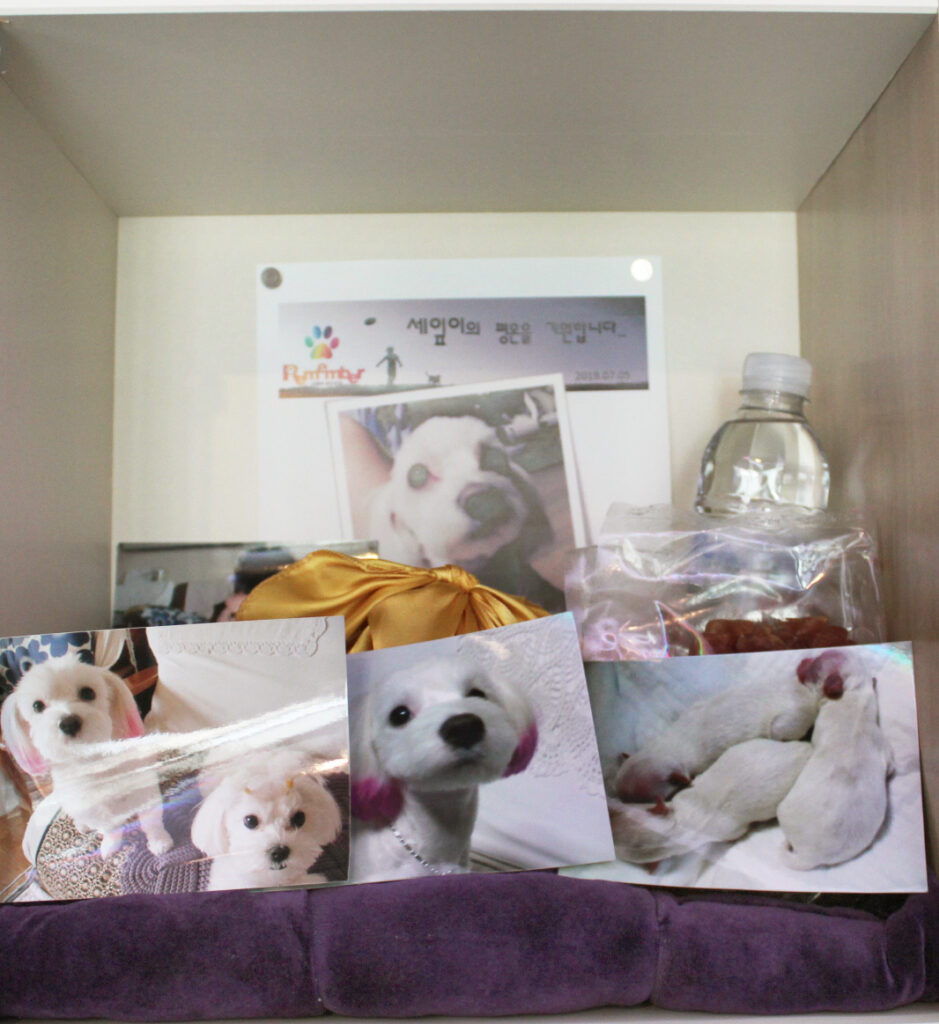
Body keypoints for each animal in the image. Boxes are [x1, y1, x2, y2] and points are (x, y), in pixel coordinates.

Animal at [1, 654, 173, 858]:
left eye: (88, 693)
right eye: (37, 706)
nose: (68, 723)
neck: (93, 762)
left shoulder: (144, 792)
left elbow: (151, 821)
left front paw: (159, 841)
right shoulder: (94, 808)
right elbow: (109, 829)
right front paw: (110, 846)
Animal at [614, 650, 843, 803]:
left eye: (637, 799)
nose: (618, 797)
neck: (666, 746)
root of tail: (809, 692)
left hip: (789, 720)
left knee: (783, 729)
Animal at [777, 656, 894, 870]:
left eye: (812, 667)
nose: (802, 659)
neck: (856, 695)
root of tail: (810, 855)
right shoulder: (885, 749)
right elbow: (890, 767)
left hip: (782, 811)